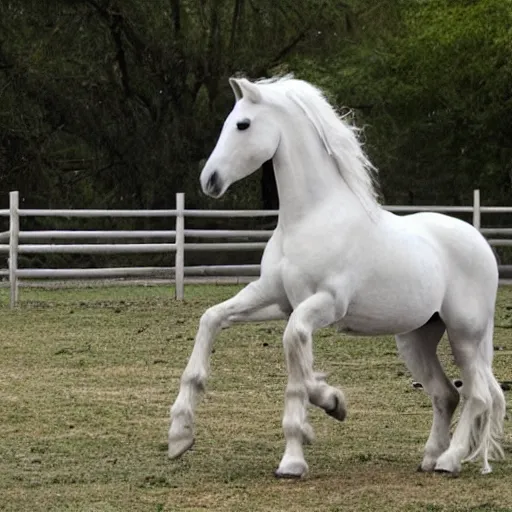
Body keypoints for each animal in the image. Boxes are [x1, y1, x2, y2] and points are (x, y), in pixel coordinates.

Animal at [170, 74, 506, 478]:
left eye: (243, 124)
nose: (211, 180)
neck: (311, 217)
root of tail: (479, 242)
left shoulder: (325, 305)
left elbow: (295, 357)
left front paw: (300, 448)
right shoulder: (274, 298)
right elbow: (212, 320)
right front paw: (180, 435)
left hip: (465, 336)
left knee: (478, 395)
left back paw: (449, 460)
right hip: (416, 339)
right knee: (447, 394)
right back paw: (430, 458)